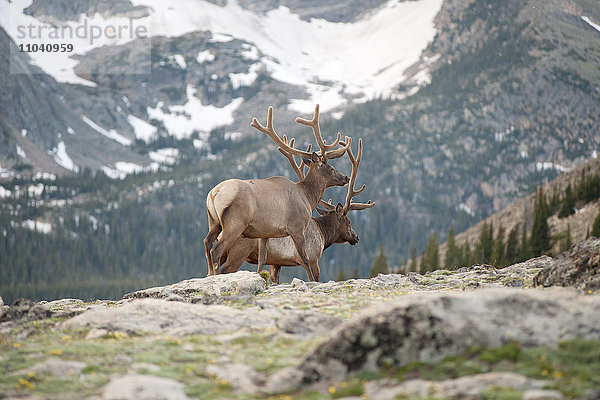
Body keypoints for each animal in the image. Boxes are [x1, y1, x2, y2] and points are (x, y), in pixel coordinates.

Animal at [204, 106, 352, 282]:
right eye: (331, 168)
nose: (346, 177)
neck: (307, 197)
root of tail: (214, 194)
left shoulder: (265, 233)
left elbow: (262, 262)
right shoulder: (297, 228)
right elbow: (305, 260)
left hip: (214, 221)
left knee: (206, 242)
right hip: (235, 223)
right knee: (216, 250)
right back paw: (214, 276)